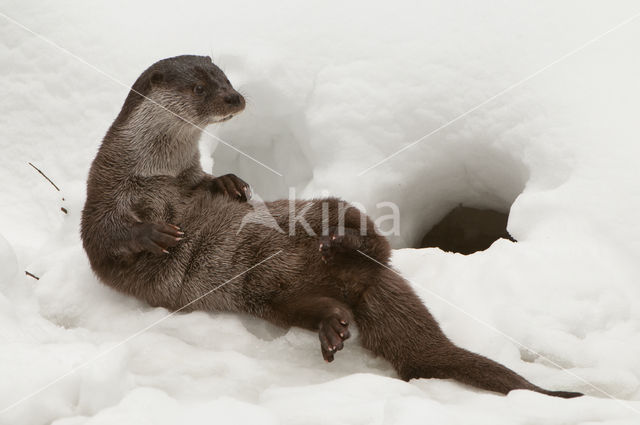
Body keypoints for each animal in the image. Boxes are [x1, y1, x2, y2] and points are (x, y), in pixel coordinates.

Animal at [80, 55, 580, 398]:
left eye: (226, 79)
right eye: (201, 87)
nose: (235, 98)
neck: (157, 171)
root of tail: (361, 283)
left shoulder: (187, 178)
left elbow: (206, 185)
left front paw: (229, 182)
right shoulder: (105, 189)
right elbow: (102, 236)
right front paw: (154, 233)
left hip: (315, 211)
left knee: (376, 241)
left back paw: (342, 244)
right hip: (266, 298)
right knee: (315, 302)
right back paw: (332, 322)